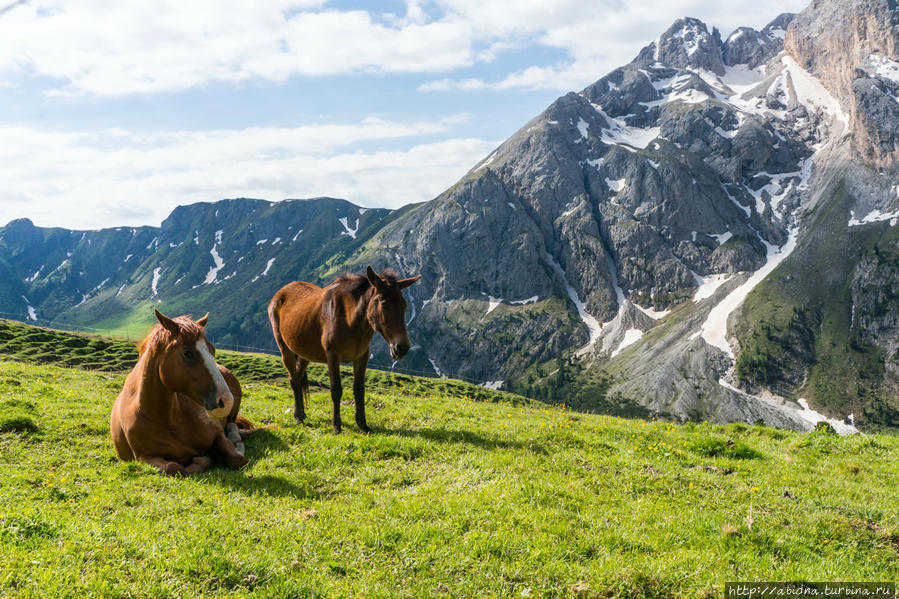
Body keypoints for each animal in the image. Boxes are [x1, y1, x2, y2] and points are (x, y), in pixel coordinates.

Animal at [112, 312, 255, 476]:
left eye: (212, 350)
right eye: (188, 354)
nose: (226, 401)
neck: (167, 419)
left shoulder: (217, 434)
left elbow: (238, 459)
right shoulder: (143, 457)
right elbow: (174, 467)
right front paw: (201, 460)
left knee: (232, 423)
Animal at [268, 266, 420, 432]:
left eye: (404, 305)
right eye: (384, 303)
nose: (402, 347)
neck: (349, 320)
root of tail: (279, 294)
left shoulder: (361, 357)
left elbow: (359, 390)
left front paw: (362, 424)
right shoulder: (333, 356)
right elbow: (336, 390)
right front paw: (336, 426)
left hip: (304, 354)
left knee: (298, 376)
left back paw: (302, 415)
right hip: (285, 350)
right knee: (294, 380)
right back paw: (298, 417)